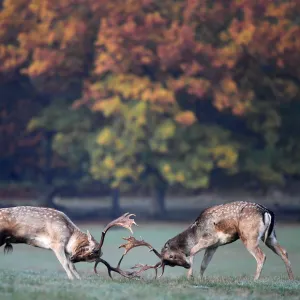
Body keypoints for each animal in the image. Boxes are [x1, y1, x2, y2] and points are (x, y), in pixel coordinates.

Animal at [0, 206, 137, 278]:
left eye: (90, 259)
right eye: (89, 250)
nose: (73, 258)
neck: (69, 235)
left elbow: (72, 266)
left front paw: (79, 280)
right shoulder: (56, 243)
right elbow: (65, 264)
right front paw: (72, 279)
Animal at [119, 202, 292, 282]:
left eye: (171, 257)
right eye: (171, 264)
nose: (186, 265)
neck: (195, 232)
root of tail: (267, 212)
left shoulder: (211, 238)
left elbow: (193, 251)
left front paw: (190, 276)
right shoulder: (214, 246)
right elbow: (204, 263)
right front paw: (200, 278)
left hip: (249, 235)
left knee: (261, 256)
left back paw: (255, 279)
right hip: (270, 236)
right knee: (284, 251)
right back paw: (291, 278)